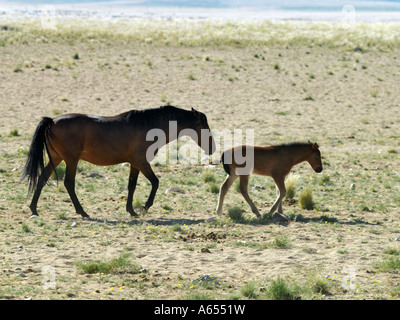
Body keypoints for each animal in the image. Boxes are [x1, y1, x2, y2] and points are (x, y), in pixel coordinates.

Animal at [21, 106, 216, 219]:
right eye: (203, 125)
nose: (212, 147)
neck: (148, 125)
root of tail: (52, 121)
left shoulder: (134, 164)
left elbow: (132, 185)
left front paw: (132, 210)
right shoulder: (141, 162)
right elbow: (155, 182)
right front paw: (144, 208)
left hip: (57, 158)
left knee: (42, 178)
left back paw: (34, 209)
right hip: (71, 160)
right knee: (68, 183)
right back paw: (82, 212)